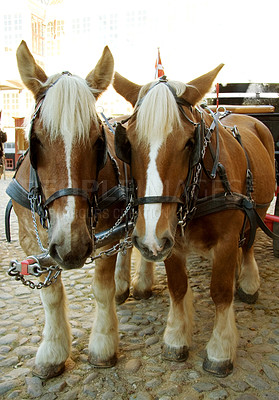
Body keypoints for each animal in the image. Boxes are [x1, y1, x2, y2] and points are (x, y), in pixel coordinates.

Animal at [112, 65, 276, 376]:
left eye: (190, 142)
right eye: (128, 143)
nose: (148, 240)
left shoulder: (223, 240)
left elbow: (221, 292)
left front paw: (220, 349)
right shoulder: (170, 241)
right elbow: (177, 288)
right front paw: (176, 336)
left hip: (257, 208)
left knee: (248, 242)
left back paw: (248, 281)